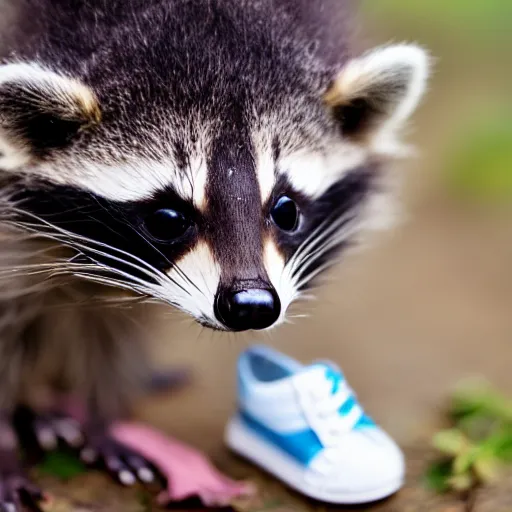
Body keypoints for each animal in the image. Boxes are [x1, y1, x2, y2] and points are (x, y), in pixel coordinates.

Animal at [0, 0, 428, 504]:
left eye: (286, 211)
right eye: (168, 218)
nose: (252, 305)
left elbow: (110, 330)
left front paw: (104, 416)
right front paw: (6, 445)